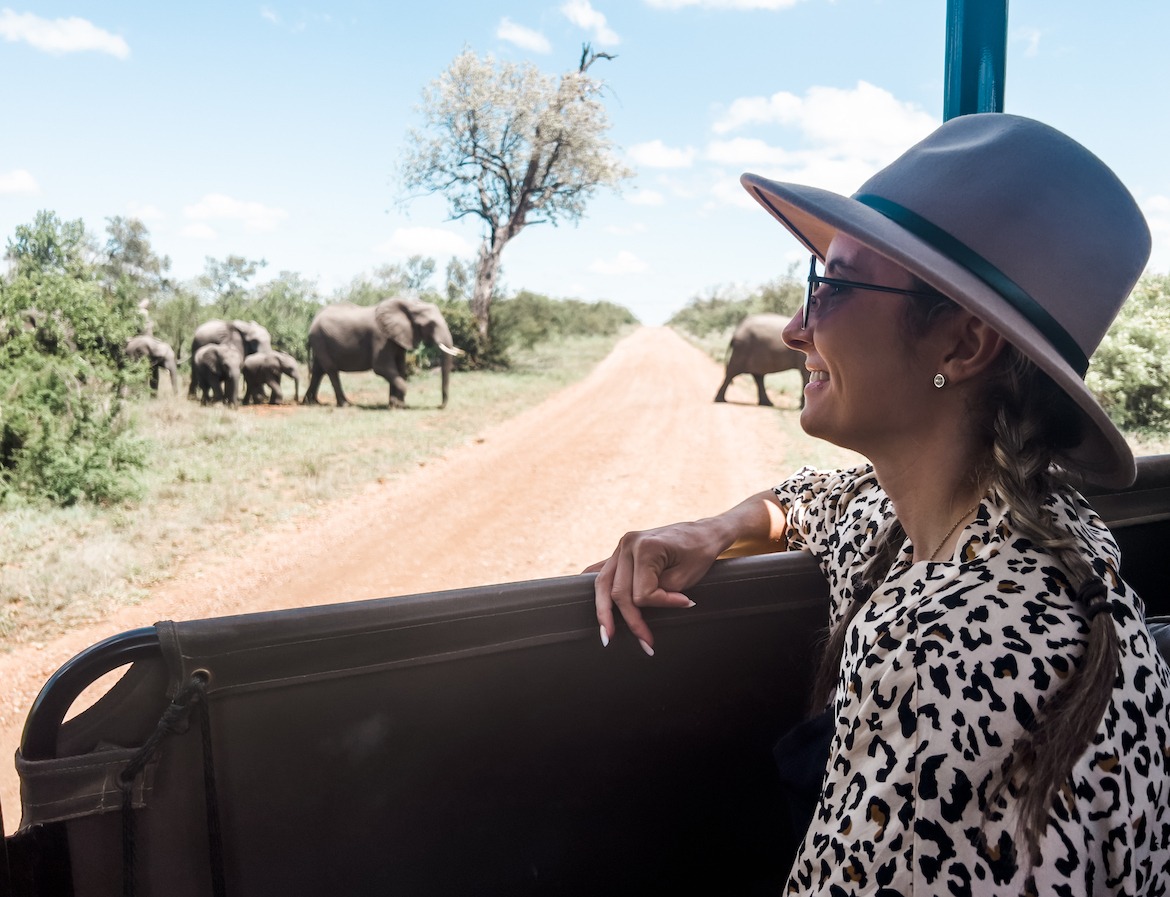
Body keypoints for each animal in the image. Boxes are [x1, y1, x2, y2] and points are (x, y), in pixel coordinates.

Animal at [301, 298, 460, 411]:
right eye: (431, 324)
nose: (440, 406)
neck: (409, 305)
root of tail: (312, 322)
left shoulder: (398, 337)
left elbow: (399, 367)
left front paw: (396, 404)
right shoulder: (380, 337)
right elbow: (382, 367)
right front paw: (398, 404)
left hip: (320, 342)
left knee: (318, 370)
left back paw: (311, 403)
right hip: (320, 339)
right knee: (331, 370)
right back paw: (345, 404)